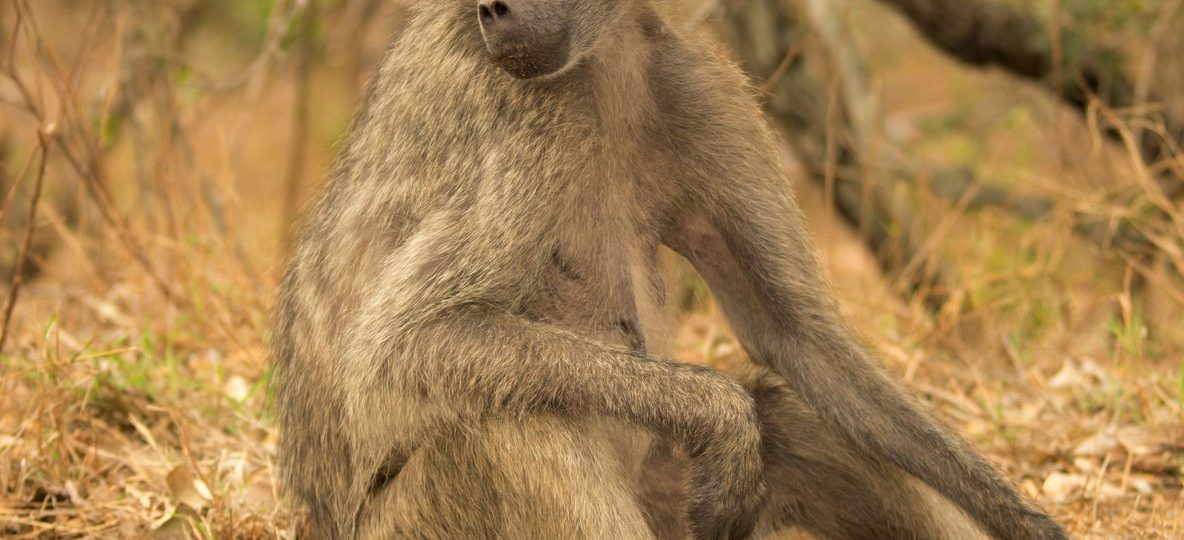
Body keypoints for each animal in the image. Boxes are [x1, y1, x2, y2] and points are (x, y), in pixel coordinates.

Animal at [272, 0, 1068, 538]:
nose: (492, 6)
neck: (606, 55)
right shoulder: (522, 109)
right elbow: (411, 338)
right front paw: (724, 418)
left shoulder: (699, 82)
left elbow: (795, 335)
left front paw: (1023, 520)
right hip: (421, 521)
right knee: (514, 425)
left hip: (669, 496)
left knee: (787, 413)